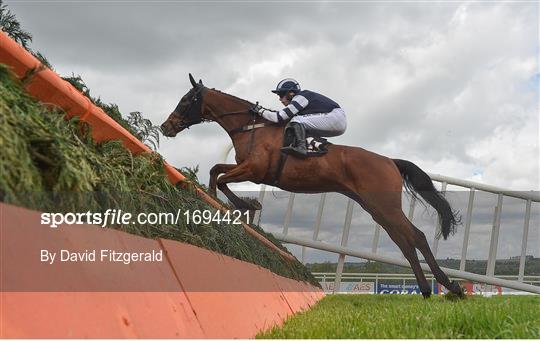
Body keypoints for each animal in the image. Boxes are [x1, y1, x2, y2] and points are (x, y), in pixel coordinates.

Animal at [160, 74, 464, 298]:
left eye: (186, 100)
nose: (166, 126)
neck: (251, 127)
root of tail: (390, 161)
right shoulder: (246, 168)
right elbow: (216, 172)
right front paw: (233, 204)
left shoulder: (254, 170)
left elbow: (221, 179)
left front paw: (243, 205)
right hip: (377, 209)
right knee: (405, 244)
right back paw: (427, 290)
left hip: (385, 206)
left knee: (417, 237)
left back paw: (451, 287)